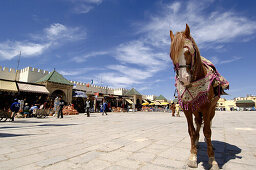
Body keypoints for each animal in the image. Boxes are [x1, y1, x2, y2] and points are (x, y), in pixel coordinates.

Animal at [170, 24, 228, 169]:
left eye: (188, 51)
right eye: (171, 55)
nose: (183, 79)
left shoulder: (207, 108)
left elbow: (207, 131)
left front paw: (212, 159)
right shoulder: (187, 108)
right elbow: (191, 131)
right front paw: (193, 156)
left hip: (212, 110)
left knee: (208, 126)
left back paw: (208, 144)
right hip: (196, 110)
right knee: (197, 124)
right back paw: (196, 143)